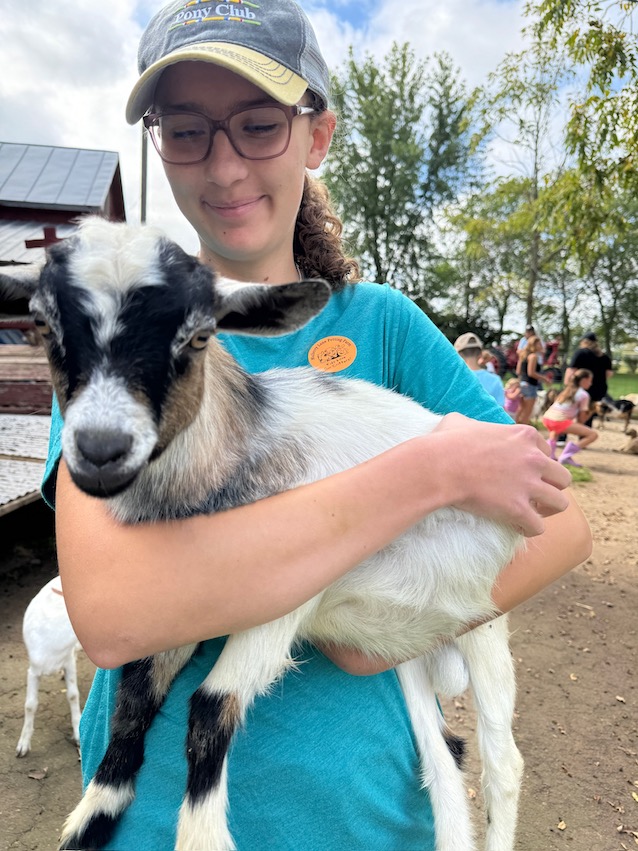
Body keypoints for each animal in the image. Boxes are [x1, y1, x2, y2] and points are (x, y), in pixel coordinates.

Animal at [16, 576, 82, 756]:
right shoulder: (33, 670)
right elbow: (30, 705)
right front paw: (23, 744)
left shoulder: (69, 662)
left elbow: (73, 695)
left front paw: (78, 732)